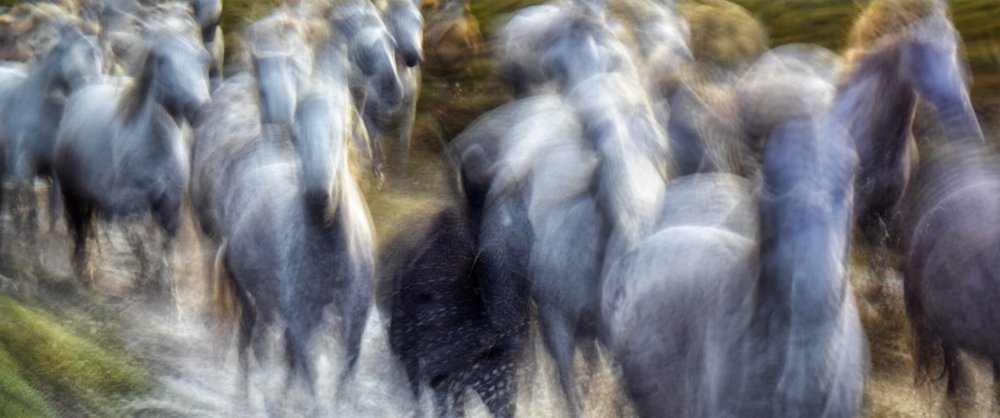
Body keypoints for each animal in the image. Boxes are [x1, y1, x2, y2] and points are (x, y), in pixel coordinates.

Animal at [0, 22, 100, 240]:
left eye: (98, 54)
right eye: (86, 53)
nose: (94, 84)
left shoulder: (54, 168)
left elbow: (54, 203)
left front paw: (53, 231)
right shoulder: (23, 163)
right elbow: (29, 197)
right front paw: (29, 230)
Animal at [53, 5, 209, 288]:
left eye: (203, 58)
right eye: (161, 59)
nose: (201, 109)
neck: (155, 150)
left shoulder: (171, 208)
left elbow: (164, 246)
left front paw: (165, 286)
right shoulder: (124, 208)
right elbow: (137, 241)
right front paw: (144, 278)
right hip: (73, 194)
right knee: (80, 231)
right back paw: (84, 272)